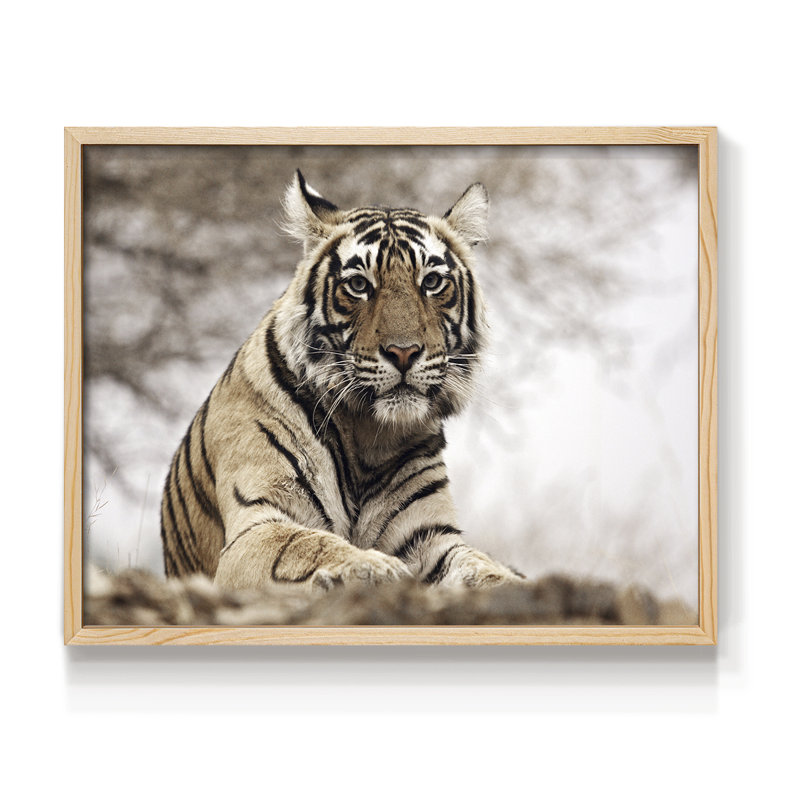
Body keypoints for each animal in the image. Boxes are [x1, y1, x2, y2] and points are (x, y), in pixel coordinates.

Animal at [160, 170, 521, 591]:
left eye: (431, 282)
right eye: (359, 285)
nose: (403, 352)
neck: (369, 435)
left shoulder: (430, 535)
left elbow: (480, 566)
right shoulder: (257, 525)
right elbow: (308, 544)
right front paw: (376, 567)